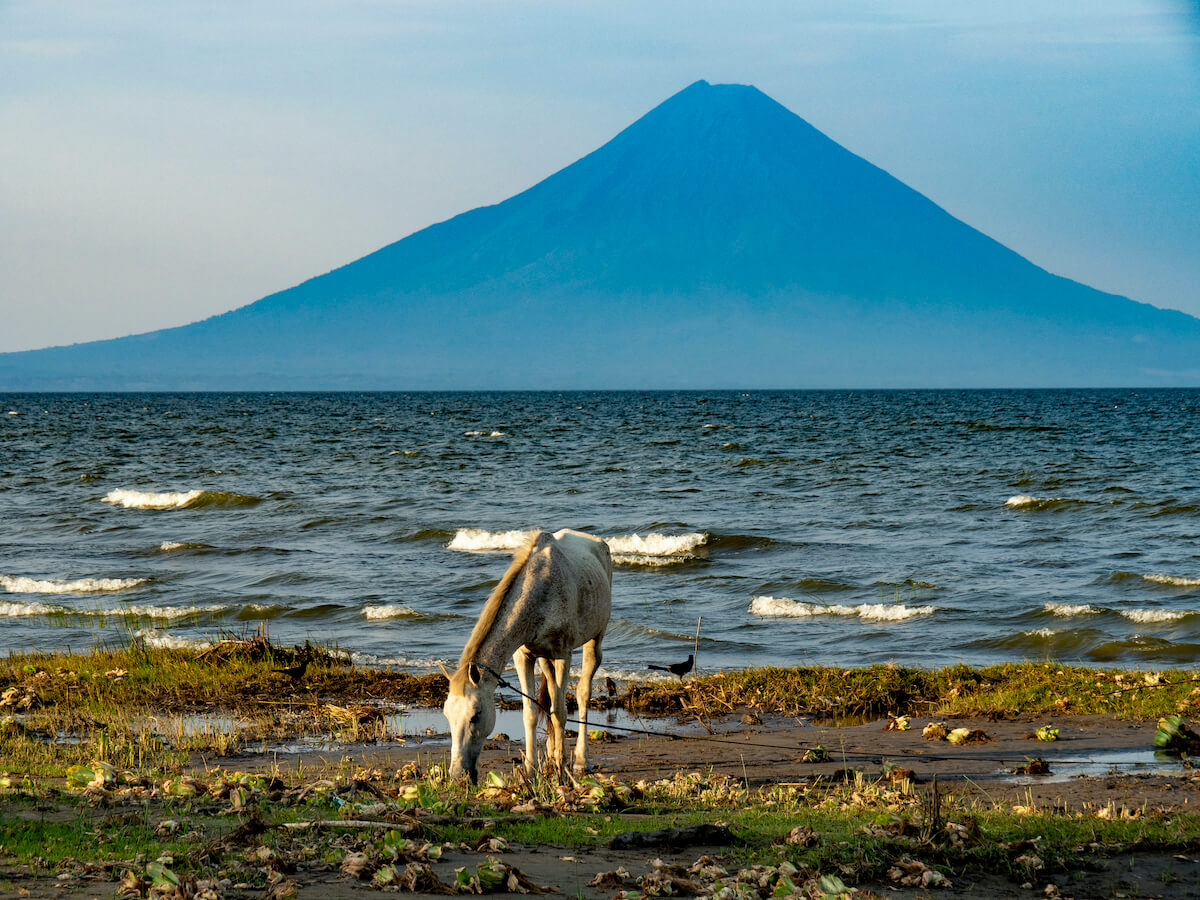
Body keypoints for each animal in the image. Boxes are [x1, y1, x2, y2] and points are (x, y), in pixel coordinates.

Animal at [439, 528, 609, 782]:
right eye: (447, 715)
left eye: (475, 715)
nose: (458, 775)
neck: (540, 592)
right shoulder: (523, 657)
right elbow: (530, 713)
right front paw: (531, 770)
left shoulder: (563, 654)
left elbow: (560, 712)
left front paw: (561, 769)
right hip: (545, 658)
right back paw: (552, 754)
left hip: (594, 640)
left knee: (582, 694)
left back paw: (580, 760)